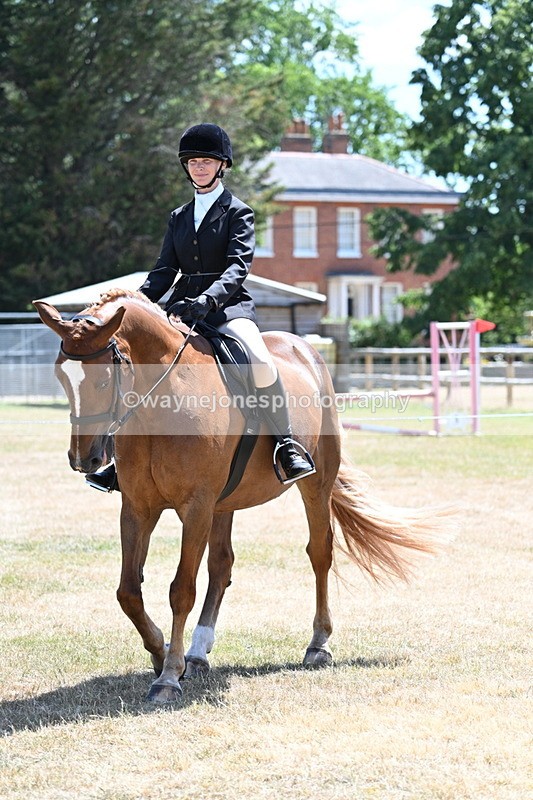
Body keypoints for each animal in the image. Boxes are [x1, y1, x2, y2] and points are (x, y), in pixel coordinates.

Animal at [34, 289, 451, 704]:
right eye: (60, 376)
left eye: (104, 380)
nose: (84, 459)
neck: (165, 400)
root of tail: (305, 350)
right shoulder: (138, 507)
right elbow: (128, 592)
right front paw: (161, 653)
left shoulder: (196, 507)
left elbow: (181, 590)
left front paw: (168, 677)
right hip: (224, 504)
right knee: (222, 565)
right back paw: (198, 653)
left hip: (314, 485)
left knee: (319, 552)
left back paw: (318, 644)